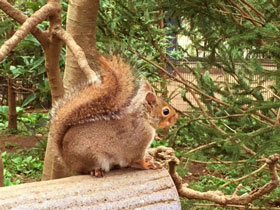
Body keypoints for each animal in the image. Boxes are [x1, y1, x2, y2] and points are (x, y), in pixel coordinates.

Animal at [48, 55, 178, 176]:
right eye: (166, 111)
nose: (176, 118)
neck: (144, 119)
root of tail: (67, 161)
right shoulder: (137, 145)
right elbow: (137, 161)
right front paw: (149, 165)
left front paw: (150, 159)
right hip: (91, 157)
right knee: (85, 170)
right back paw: (96, 170)